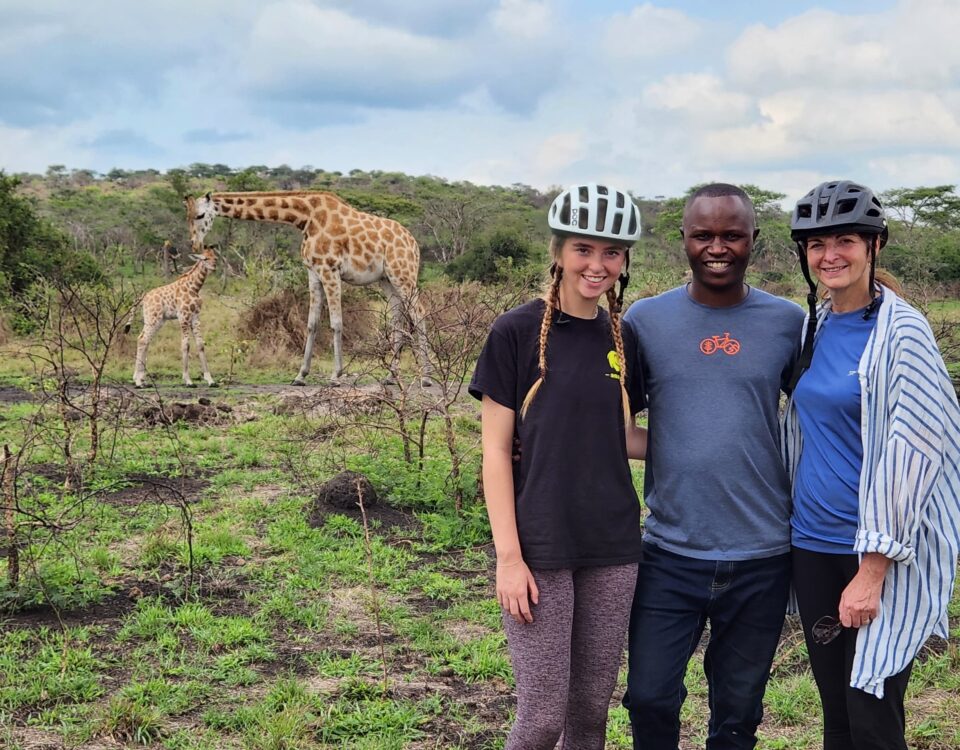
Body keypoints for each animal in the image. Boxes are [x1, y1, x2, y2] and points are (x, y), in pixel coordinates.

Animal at [126, 248, 217, 388]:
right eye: (205, 258)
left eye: (215, 258)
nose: (214, 266)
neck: (195, 287)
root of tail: (143, 298)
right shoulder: (184, 316)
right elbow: (185, 345)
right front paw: (188, 380)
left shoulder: (195, 317)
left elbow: (200, 345)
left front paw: (210, 380)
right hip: (153, 318)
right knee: (142, 339)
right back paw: (138, 381)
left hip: (157, 320)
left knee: (144, 340)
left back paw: (141, 379)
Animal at [185, 191, 432, 384]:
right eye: (187, 216)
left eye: (200, 215)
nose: (195, 245)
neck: (305, 217)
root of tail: (414, 243)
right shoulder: (313, 272)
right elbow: (312, 323)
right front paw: (300, 375)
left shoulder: (329, 269)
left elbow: (335, 323)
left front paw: (336, 375)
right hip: (386, 279)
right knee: (398, 317)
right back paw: (391, 376)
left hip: (403, 273)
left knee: (419, 313)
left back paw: (426, 376)